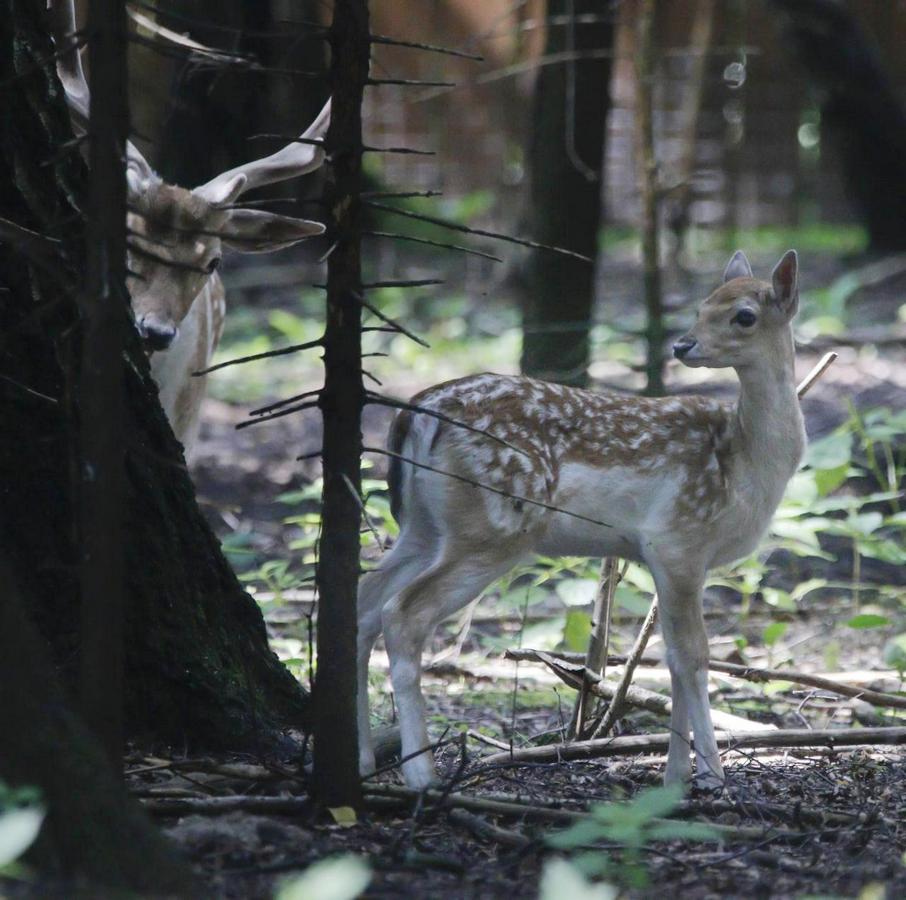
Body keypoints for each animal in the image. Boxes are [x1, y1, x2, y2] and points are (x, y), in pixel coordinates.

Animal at [356, 251, 800, 788]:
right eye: (702, 307)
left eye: (742, 315)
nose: (682, 343)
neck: (747, 462)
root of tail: (417, 413)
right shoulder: (679, 540)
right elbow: (695, 657)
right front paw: (712, 776)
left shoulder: (664, 556)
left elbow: (671, 659)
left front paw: (674, 778)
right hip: (492, 527)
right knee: (403, 613)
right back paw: (422, 775)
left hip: (422, 527)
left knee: (363, 600)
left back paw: (361, 759)